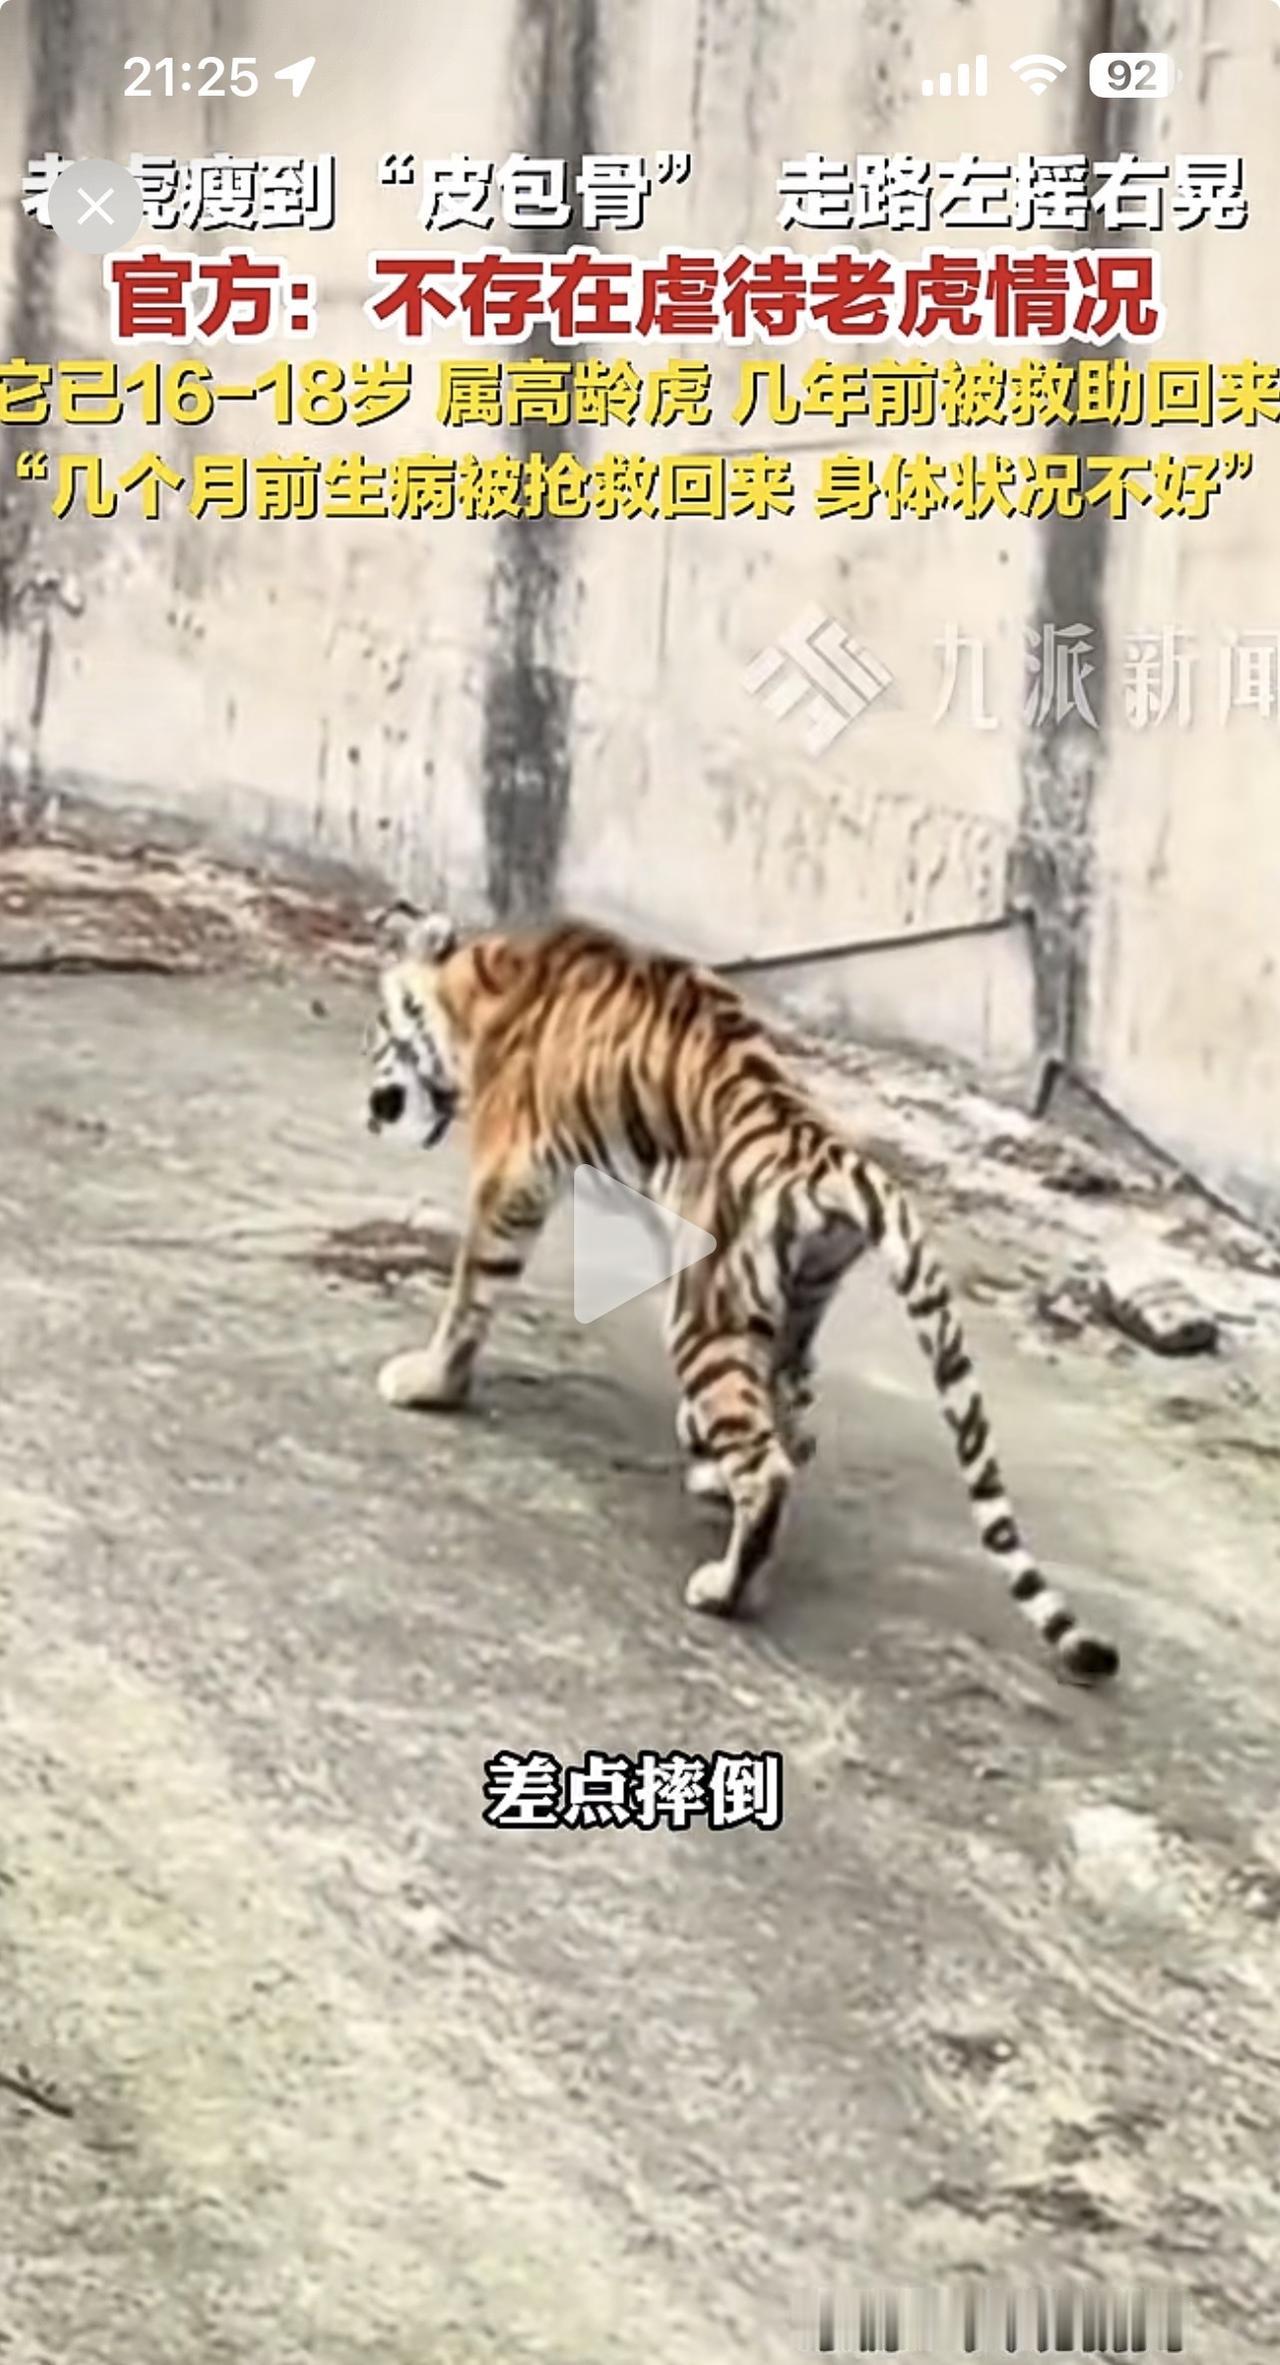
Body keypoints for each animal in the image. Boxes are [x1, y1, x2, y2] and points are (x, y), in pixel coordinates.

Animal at [365, 910, 1119, 1686]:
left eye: (381, 1029)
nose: (373, 1105)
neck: (483, 980)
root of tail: (827, 1153)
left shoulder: (509, 1175)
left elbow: (469, 1290)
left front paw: (428, 1383)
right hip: (798, 1299)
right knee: (791, 1416)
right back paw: (719, 1482)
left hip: (706, 1313)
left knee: (768, 1467)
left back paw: (725, 1586)